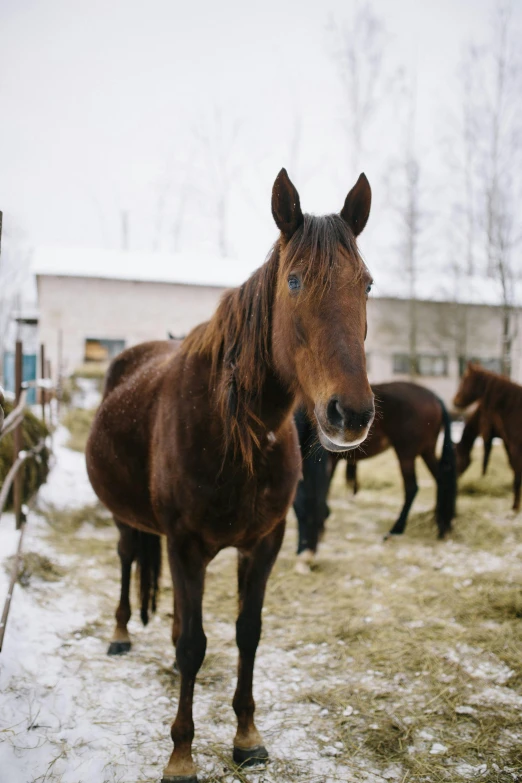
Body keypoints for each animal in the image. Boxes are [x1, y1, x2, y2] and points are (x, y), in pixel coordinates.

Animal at [86, 168, 374, 780]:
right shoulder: (186, 544)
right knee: (127, 561)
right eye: (294, 281)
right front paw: (181, 755)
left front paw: (246, 736)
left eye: (365, 285)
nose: (351, 413)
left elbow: (247, 633)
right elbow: (194, 644)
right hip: (129, 521)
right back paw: (120, 633)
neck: (234, 431)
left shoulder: (264, 543)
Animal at [292, 382, 456, 568]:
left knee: (412, 488)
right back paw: (443, 526)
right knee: (442, 479)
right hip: (426, 450)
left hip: (406, 453)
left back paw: (395, 530)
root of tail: (434, 398)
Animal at [450, 364, 520, 512]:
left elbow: (487, 460)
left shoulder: (491, 436)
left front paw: (515, 506)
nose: (455, 401)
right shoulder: (504, 440)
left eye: (464, 380)